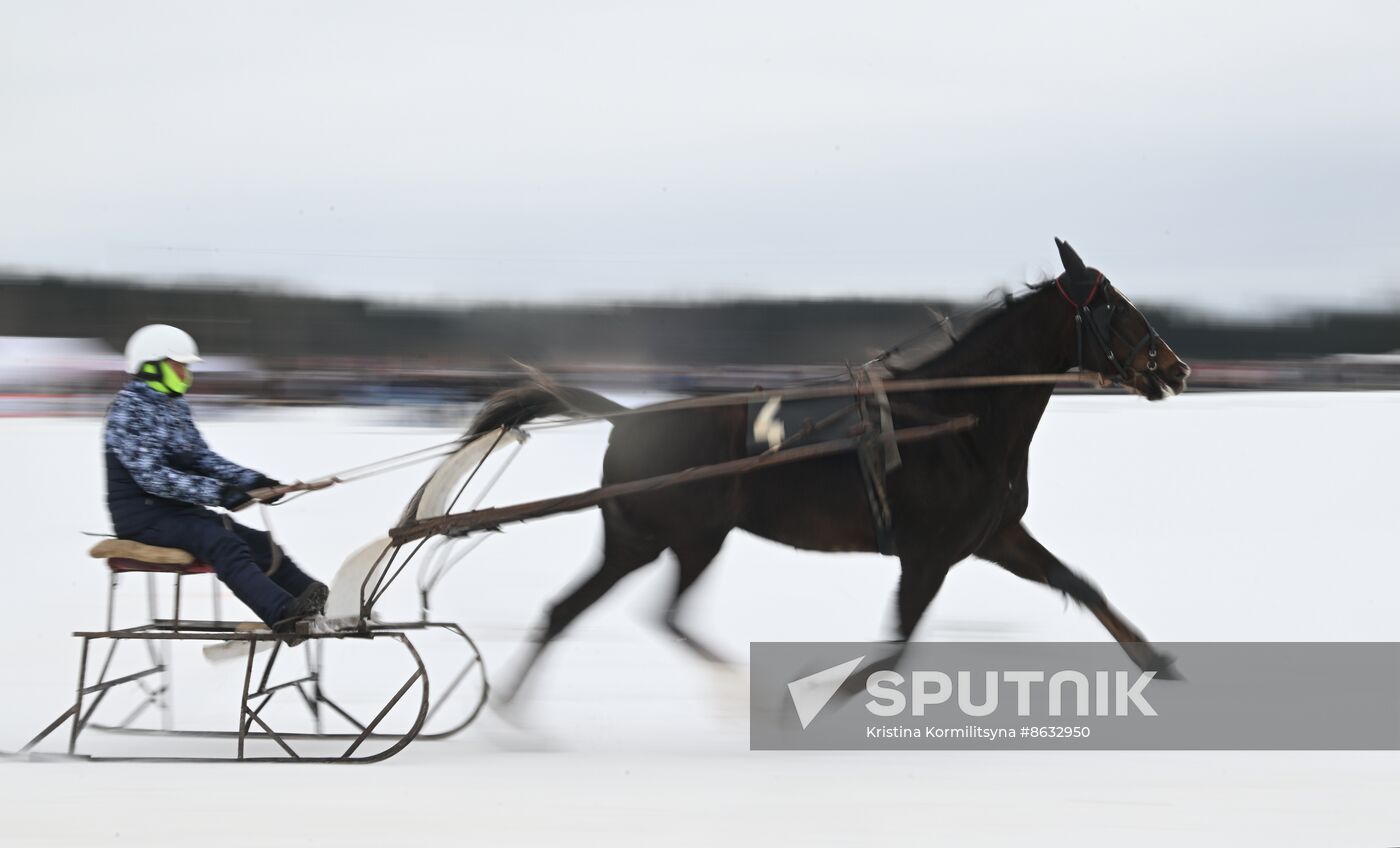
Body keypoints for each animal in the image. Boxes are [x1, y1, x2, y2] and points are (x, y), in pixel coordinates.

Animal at [470, 239, 1191, 696]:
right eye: (1114, 305)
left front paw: (1157, 659)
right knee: (659, 615)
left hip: (638, 538)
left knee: (569, 610)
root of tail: (628, 417)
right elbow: (893, 649)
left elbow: (1079, 584)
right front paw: (814, 694)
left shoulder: (992, 536)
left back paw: (513, 711)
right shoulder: (929, 554)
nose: (1178, 367)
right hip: (690, 535)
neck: (958, 418)